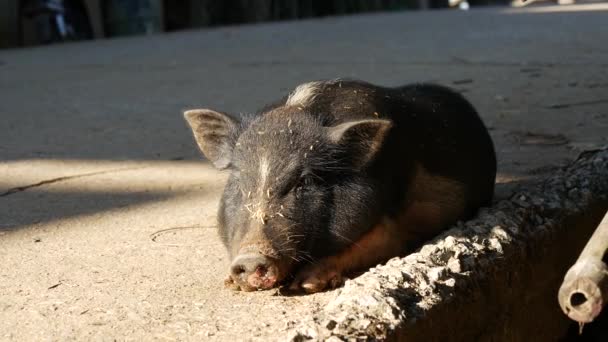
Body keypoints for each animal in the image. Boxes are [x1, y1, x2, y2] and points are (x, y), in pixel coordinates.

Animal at [183, 79, 496, 292]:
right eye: (238, 180)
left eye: (306, 180)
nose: (249, 257)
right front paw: (230, 283)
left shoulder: (400, 222)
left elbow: (380, 239)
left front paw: (306, 284)